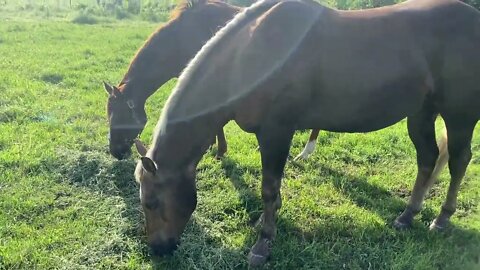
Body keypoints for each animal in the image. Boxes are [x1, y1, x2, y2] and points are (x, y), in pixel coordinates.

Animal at [134, 0, 480, 266]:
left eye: (151, 203)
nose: (157, 250)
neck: (248, 58)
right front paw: (265, 223)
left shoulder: (276, 131)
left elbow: (269, 188)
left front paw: (262, 245)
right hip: (421, 112)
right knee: (428, 158)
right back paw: (407, 216)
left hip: (459, 116)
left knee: (458, 161)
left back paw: (442, 219)